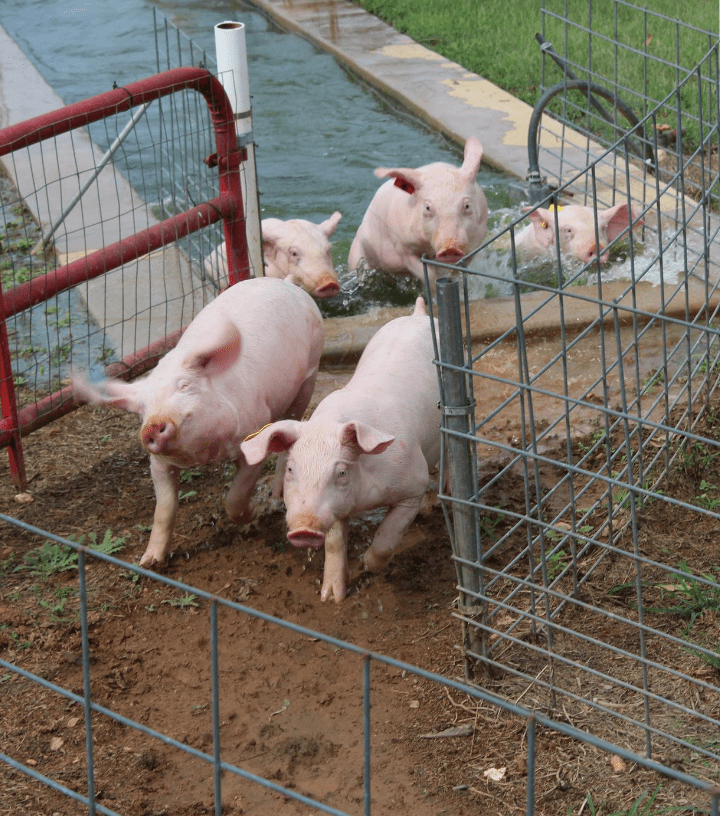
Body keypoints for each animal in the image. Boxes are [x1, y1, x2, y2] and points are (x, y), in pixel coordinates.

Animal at [71, 276, 324, 568]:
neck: (204, 454)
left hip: (309, 375)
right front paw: (149, 562)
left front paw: (253, 518)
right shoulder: (158, 464)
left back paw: (275, 499)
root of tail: (285, 283)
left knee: (289, 435)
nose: (152, 425)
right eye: (143, 408)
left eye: (184, 386)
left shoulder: (252, 436)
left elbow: (234, 498)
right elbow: (165, 508)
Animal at [242, 296, 442, 604]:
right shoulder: (335, 509)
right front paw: (332, 597)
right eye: (291, 469)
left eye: (342, 473)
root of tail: (418, 315)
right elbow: (334, 544)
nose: (303, 526)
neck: (364, 498)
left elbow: (387, 537)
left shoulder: (414, 485)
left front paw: (367, 564)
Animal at [348, 140, 490, 290]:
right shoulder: (402, 245)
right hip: (357, 256)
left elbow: (460, 266)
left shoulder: (478, 236)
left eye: (467, 206)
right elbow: (427, 273)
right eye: (427, 208)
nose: (450, 248)